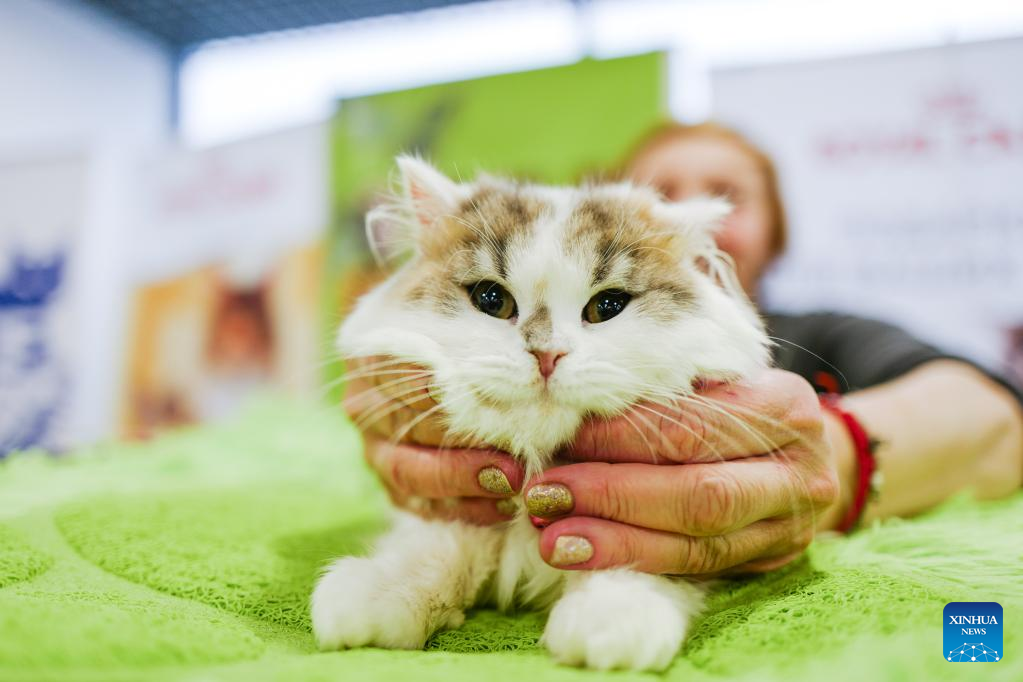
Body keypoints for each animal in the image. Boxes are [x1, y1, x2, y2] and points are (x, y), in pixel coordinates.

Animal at [310, 156, 769, 670]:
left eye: (607, 305)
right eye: (492, 300)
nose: (547, 354)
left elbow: (629, 559)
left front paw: (610, 628)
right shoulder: (453, 513)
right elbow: (433, 548)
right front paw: (372, 600)